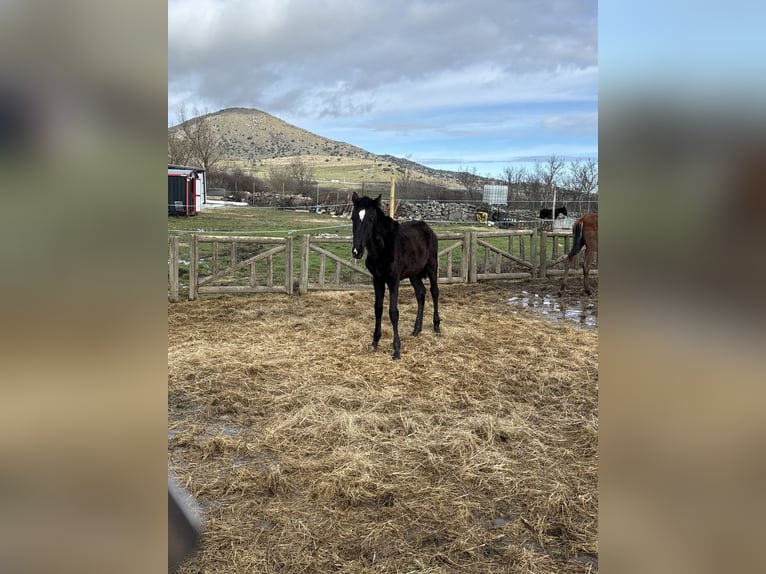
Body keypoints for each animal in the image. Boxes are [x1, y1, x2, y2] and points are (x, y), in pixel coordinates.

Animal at [352, 196, 440, 362]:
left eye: (371, 218)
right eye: (353, 217)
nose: (356, 251)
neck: (382, 248)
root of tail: (428, 228)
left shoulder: (394, 280)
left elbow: (393, 312)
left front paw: (397, 350)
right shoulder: (377, 280)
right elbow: (378, 308)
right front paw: (374, 342)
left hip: (432, 266)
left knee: (434, 292)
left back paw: (437, 326)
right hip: (414, 274)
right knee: (421, 293)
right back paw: (416, 329)